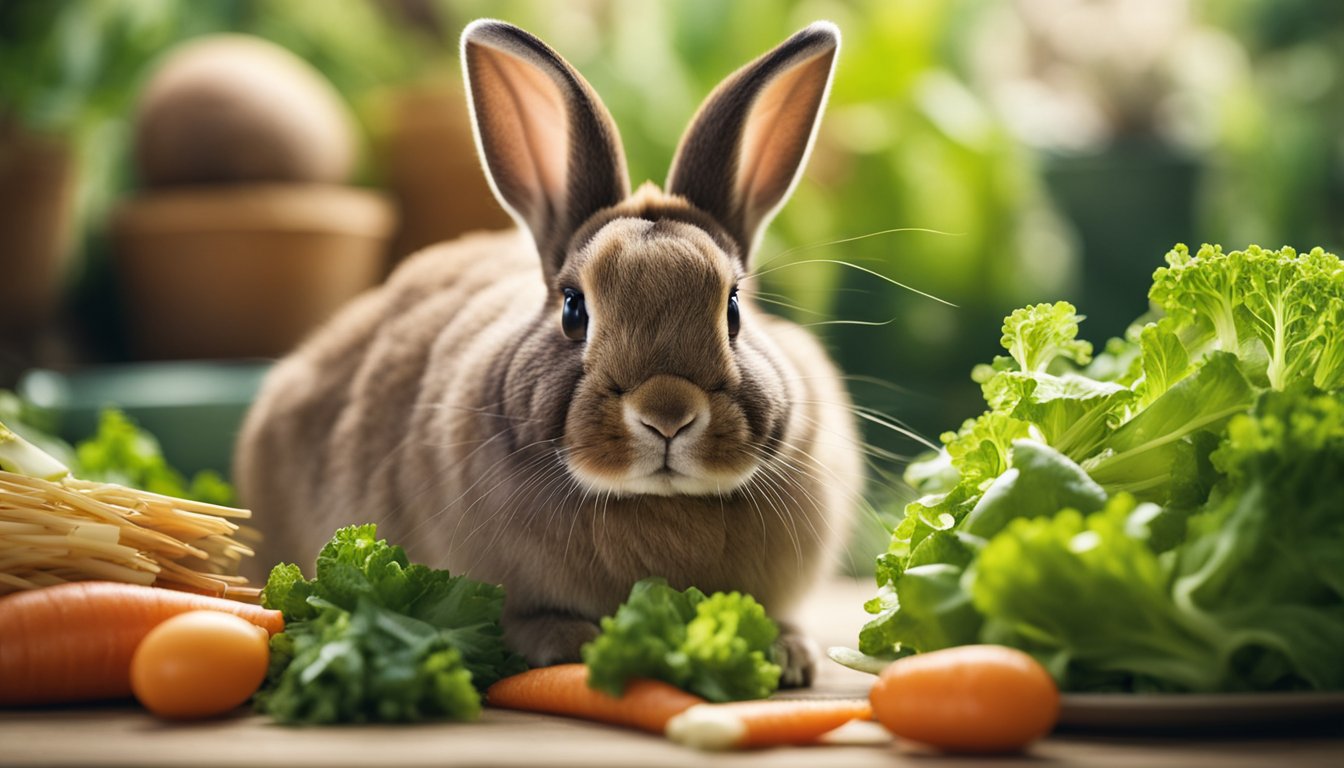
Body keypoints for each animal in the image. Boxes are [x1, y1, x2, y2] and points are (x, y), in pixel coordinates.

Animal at [235, 18, 862, 686]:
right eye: (573, 309)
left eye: (735, 307)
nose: (667, 414)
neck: (654, 503)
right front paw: (571, 642)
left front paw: (788, 654)